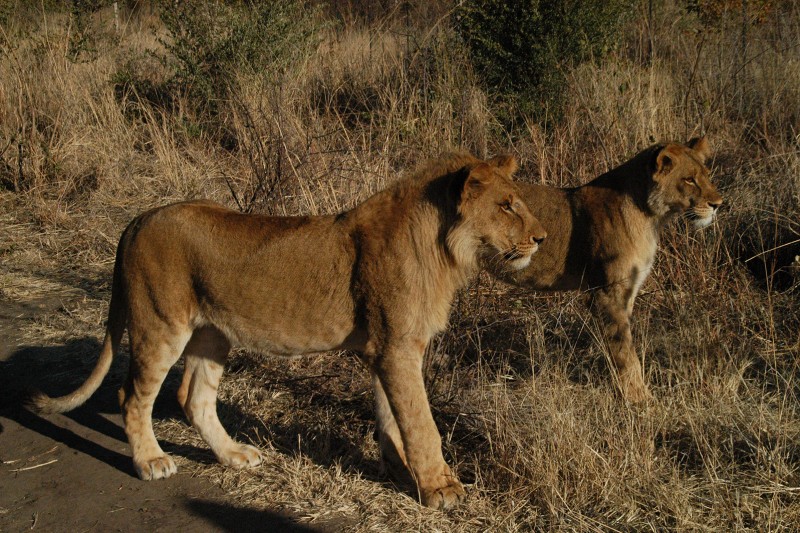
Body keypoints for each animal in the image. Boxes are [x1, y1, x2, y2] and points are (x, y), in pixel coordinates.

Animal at [29, 152, 547, 510]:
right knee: (132, 396)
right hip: (160, 324)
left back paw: (235, 455)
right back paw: (151, 461)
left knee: (193, 398)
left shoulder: (382, 348)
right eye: (506, 206)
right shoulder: (398, 347)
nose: (541, 239)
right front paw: (441, 487)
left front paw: (400, 473)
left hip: (213, 334)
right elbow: (421, 423)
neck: (444, 247)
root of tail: (137, 219)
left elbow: (391, 418)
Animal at [490, 137, 722, 402]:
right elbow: (625, 352)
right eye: (689, 179)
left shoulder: (628, 290)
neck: (651, 217)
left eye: (706, 175)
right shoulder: (606, 293)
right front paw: (640, 400)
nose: (718, 204)